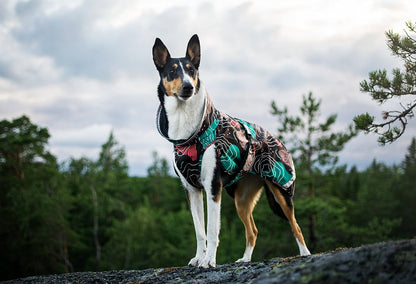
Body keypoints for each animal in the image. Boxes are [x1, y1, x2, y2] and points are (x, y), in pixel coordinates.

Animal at [152, 34, 308, 268]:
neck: (190, 135)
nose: (188, 87)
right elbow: (200, 231)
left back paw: (305, 254)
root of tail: (275, 139)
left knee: (295, 226)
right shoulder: (191, 189)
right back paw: (245, 258)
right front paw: (199, 258)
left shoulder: (212, 187)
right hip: (241, 200)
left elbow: (212, 230)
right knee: (253, 230)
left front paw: (209, 261)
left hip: (281, 190)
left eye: (191, 70)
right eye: (172, 71)